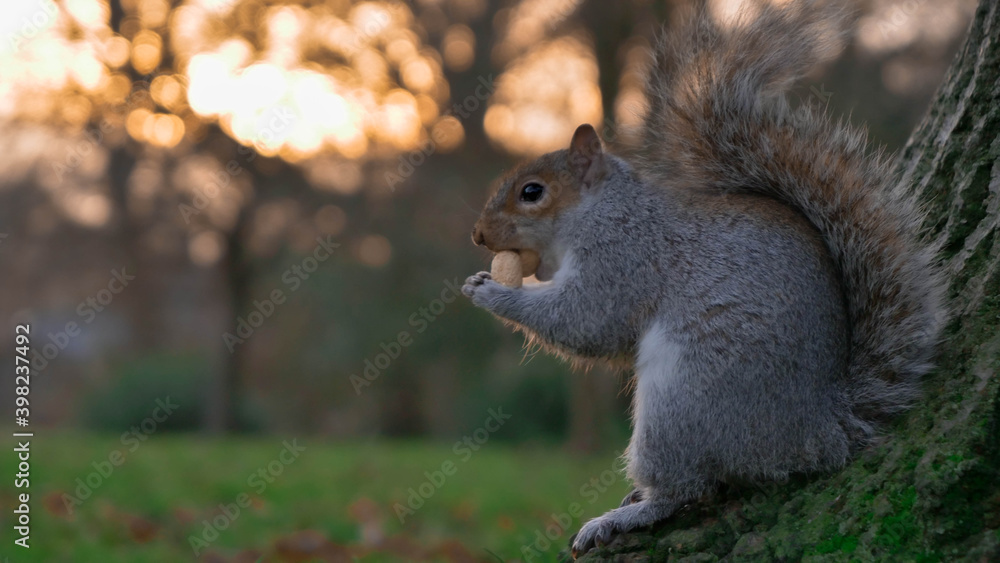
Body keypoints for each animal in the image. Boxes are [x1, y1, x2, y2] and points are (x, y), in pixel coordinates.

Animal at [461, 0, 947, 557]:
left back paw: (624, 515)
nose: (478, 235)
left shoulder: (624, 260)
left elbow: (586, 321)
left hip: (684, 398)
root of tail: (820, 431)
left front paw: (491, 293)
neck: (605, 212)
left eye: (533, 192)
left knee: (686, 485)